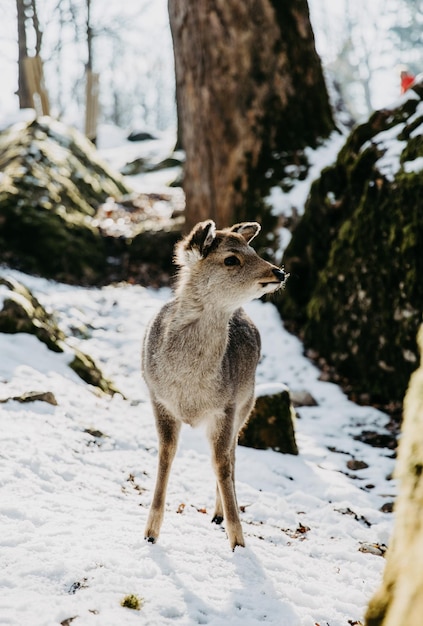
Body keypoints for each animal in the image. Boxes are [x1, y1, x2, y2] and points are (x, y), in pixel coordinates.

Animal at [143, 218, 288, 544]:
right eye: (231, 259)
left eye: (253, 250)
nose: (279, 272)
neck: (189, 390)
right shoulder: (158, 399)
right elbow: (165, 456)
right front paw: (150, 534)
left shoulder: (226, 407)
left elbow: (222, 464)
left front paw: (238, 542)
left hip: (247, 403)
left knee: (231, 456)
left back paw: (219, 513)